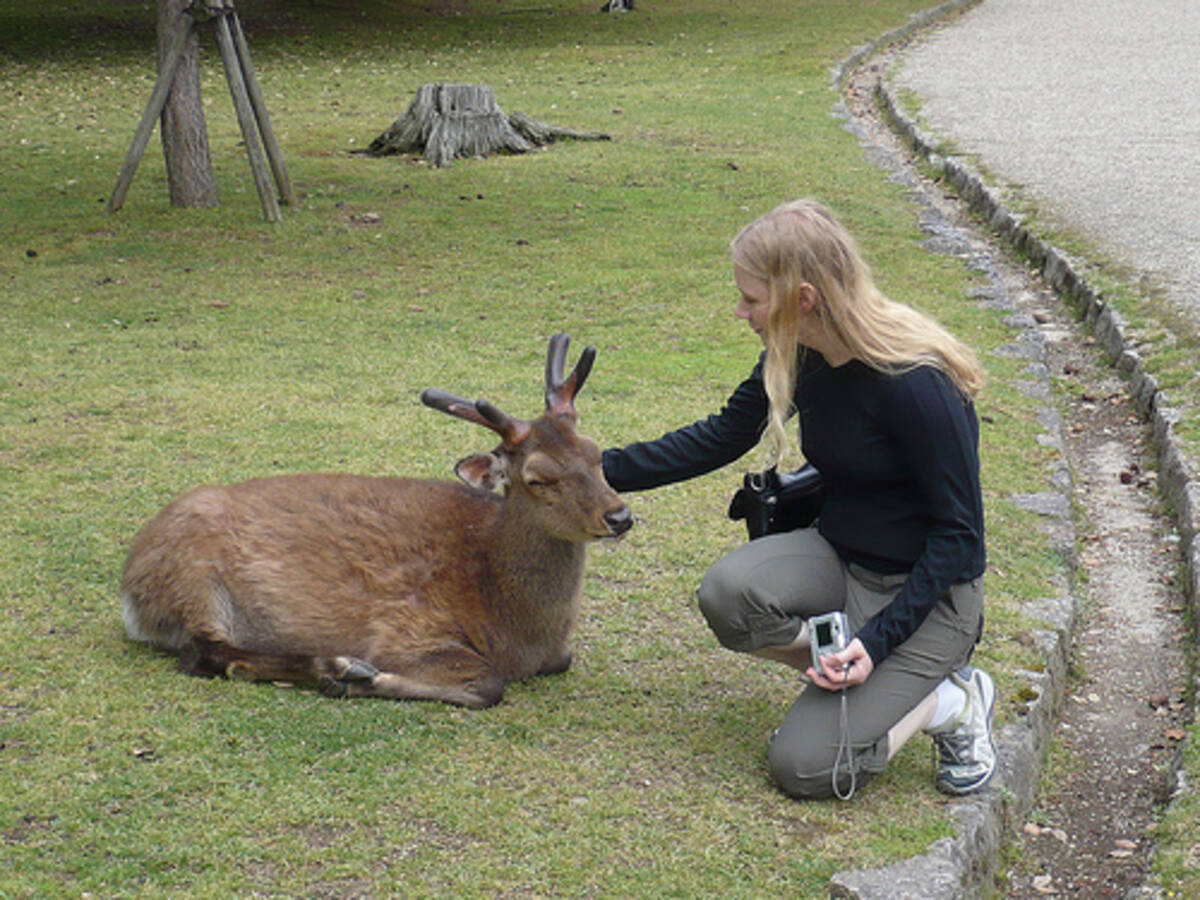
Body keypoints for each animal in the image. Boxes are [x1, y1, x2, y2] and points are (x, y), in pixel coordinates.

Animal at [117, 336, 633, 710]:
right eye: (538, 478)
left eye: (596, 453)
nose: (620, 515)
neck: (517, 630)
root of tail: (130, 584)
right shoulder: (404, 629)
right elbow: (489, 683)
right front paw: (364, 679)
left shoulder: (552, 652)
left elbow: (562, 660)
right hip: (195, 582)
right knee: (205, 653)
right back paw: (337, 667)